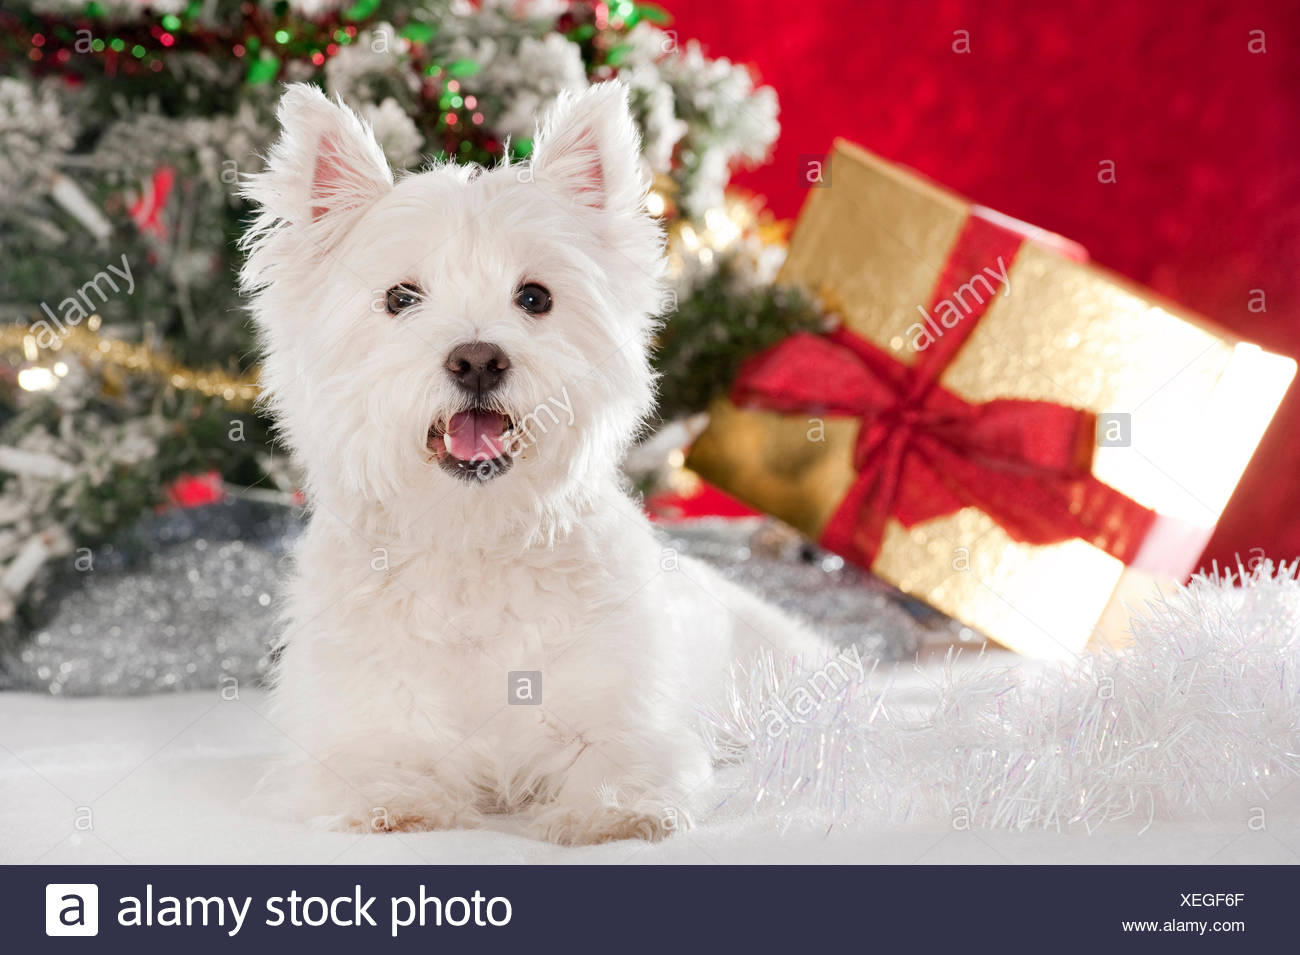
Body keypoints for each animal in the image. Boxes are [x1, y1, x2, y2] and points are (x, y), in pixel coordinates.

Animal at [240, 82, 826, 841]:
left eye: (535, 297)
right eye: (400, 297)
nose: (477, 360)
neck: (472, 540)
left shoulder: (624, 711)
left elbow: (618, 756)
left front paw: (615, 813)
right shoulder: (363, 720)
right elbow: (380, 763)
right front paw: (399, 806)